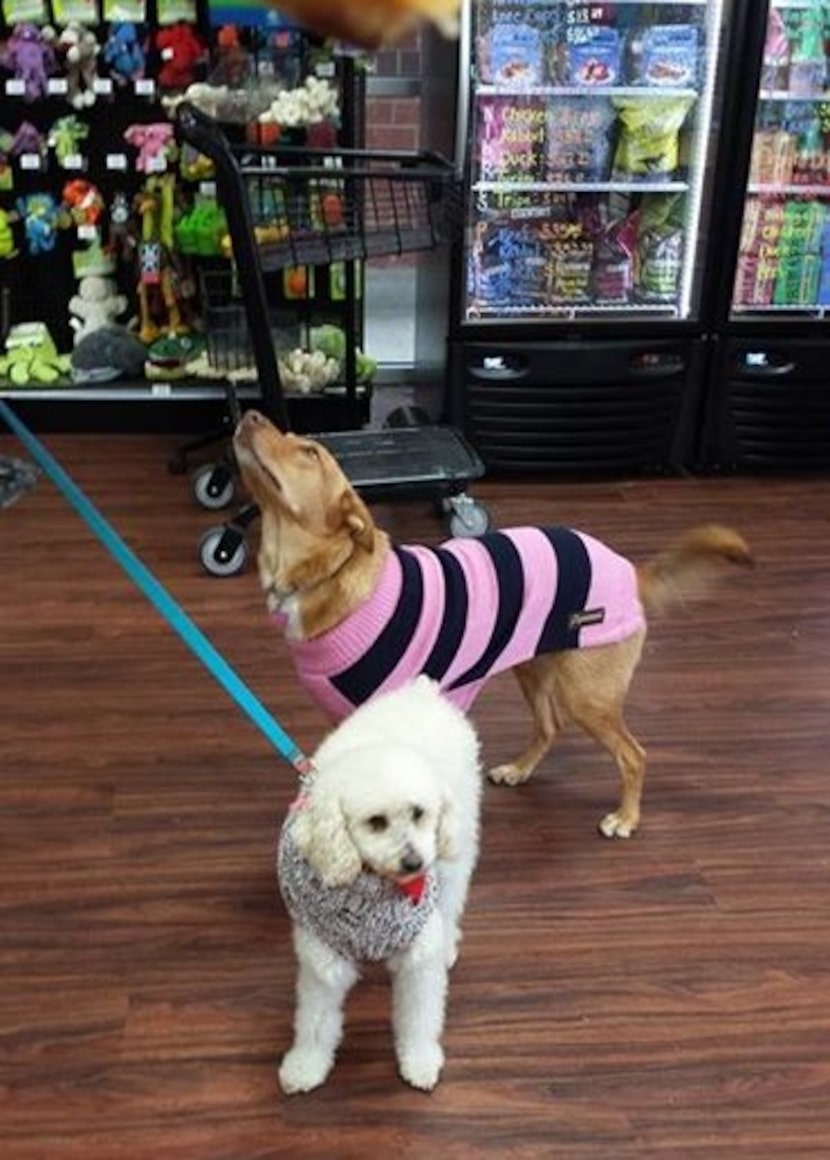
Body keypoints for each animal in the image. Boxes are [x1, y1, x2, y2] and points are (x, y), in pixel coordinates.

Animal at [233, 412, 751, 839]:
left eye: (310, 451)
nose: (250, 413)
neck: (329, 576)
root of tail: (628, 570)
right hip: (534, 670)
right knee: (548, 727)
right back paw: (520, 770)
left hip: (587, 696)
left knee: (633, 755)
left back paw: (626, 818)